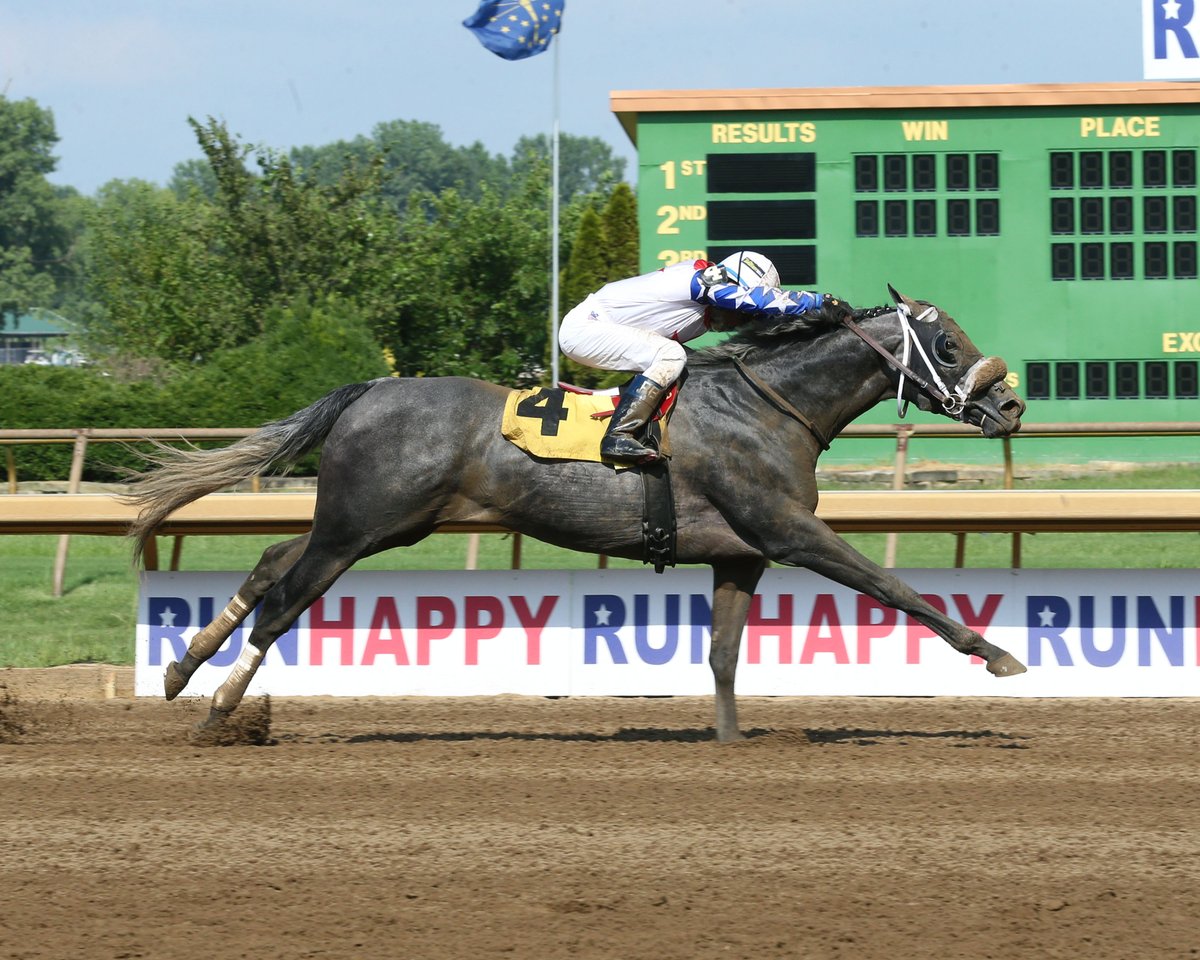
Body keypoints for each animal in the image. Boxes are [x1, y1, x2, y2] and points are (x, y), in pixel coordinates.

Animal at [128, 285, 1027, 742]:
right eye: (947, 345)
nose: (1012, 406)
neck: (768, 407)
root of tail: (371, 388)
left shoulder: (740, 553)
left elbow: (724, 654)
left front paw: (732, 744)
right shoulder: (787, 532)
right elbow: (891, 585)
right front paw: (996, 654)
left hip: (371, 524)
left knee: (270, 561)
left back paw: (179, 669)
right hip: (361, 528)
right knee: (284, 602)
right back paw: (217, 710)